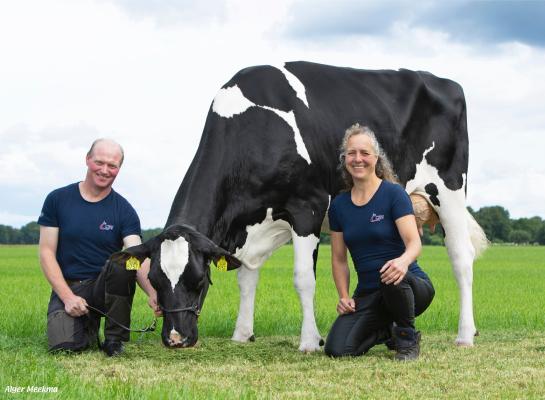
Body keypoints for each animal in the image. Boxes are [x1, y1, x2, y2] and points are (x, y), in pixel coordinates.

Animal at [115, 61, 484, 352]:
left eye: (199, 280)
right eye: (156, 281)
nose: (176, 339)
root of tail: (444, 81)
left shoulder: (308, 207)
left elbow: (303, 278)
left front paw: (309, 341)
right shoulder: (254, 225)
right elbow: (246, 277)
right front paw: (242, 333)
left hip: (449, 190)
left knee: (460, 259)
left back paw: (465, 335)